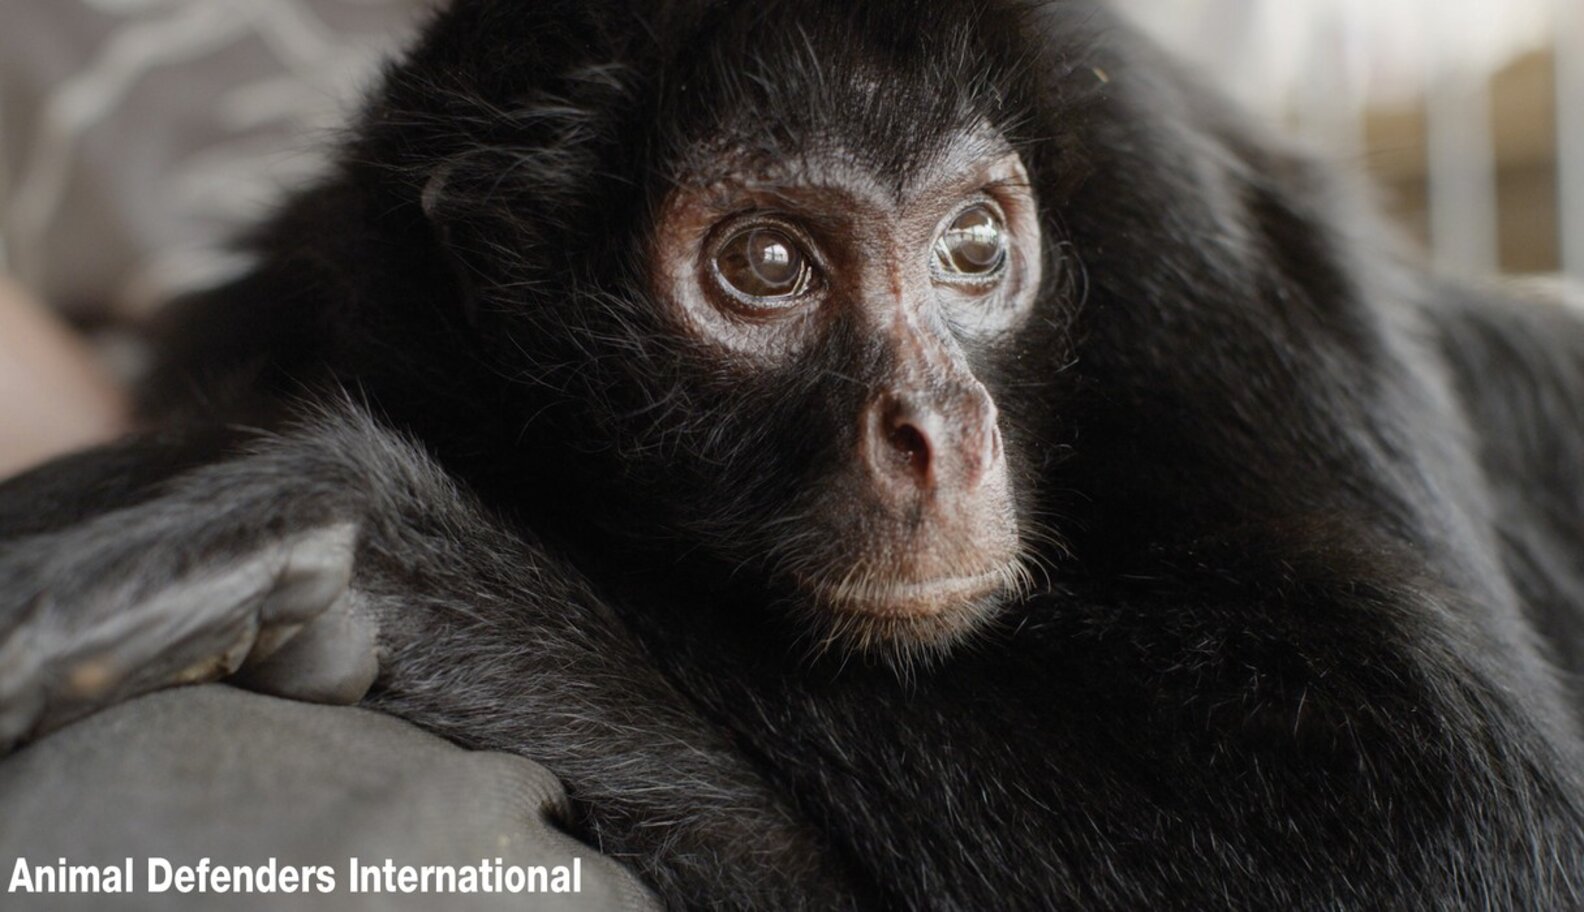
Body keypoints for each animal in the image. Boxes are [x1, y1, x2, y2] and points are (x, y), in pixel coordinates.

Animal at [2, 0, 1584, 908]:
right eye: (766, 263)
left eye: (977, 245)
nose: (940, 431)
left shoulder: (1163, 197)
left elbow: (1454, 819)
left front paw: (390, 551)